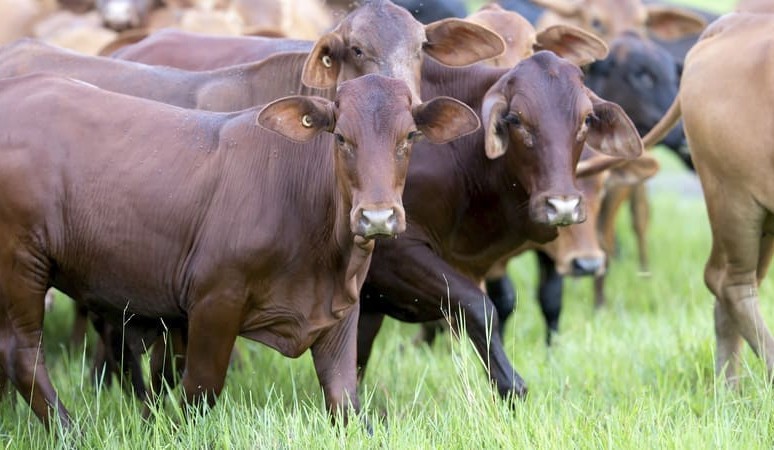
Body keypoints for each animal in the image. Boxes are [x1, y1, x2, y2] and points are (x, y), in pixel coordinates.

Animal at [0, 72, 480, 429]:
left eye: (410, 136)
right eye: (341, 137)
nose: (377, 217)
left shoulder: (340, 312)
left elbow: (344, 399)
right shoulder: (215, 300)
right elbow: (200, 389)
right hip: (22, 263)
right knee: (23, 355)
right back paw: (71, 431)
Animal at [356, 52, 643, 400]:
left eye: (587, 119)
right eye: (515, 119)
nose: (562, 206)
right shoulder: (389, 252)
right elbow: (477, 305)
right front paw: (511, 387)